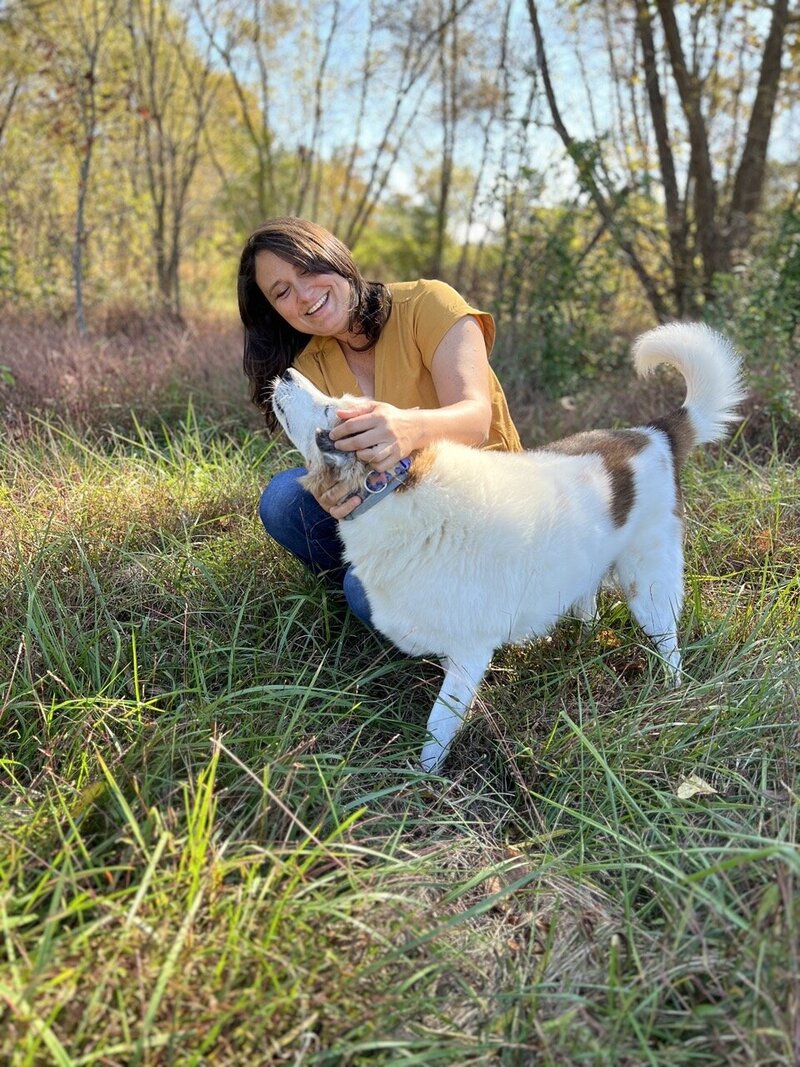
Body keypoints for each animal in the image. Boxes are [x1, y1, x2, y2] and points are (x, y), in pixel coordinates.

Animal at [273, 320, 750, 772]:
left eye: (331, 409)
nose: (287, 372)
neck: (396, 492)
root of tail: (654, 433)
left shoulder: (469, 652)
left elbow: (439, 724)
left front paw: (426, 779)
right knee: (589, 607)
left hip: (649, 583)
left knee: (668, 643)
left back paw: (671, 693)